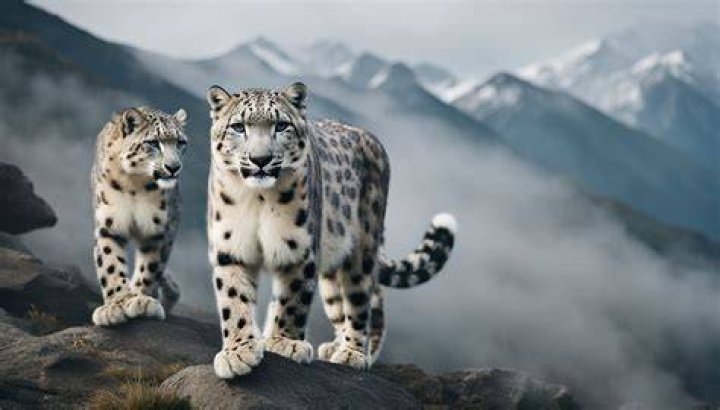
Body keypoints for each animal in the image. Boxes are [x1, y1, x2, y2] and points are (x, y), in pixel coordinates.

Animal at [91, 106, 188, 326]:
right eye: (153, 142)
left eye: (180, 142)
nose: (174, 167)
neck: (134, 185)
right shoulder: (109, 224)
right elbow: (110, 262)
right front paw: (115, 306)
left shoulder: (159, 229)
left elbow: (149, 267)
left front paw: (140, 301)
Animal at [206, 82, 457, 378]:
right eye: (238, 126)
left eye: (281, 125)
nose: (260, 159)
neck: (258, 198)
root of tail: (372, 138)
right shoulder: (230, 247)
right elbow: (233, 299)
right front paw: (238, 352)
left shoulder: (299, 249)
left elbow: (291, 300)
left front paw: (284, 343)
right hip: (332, 268)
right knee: (344, 304)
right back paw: (335, 346)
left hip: (361, 249)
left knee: (363, 301)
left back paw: (354, 353)